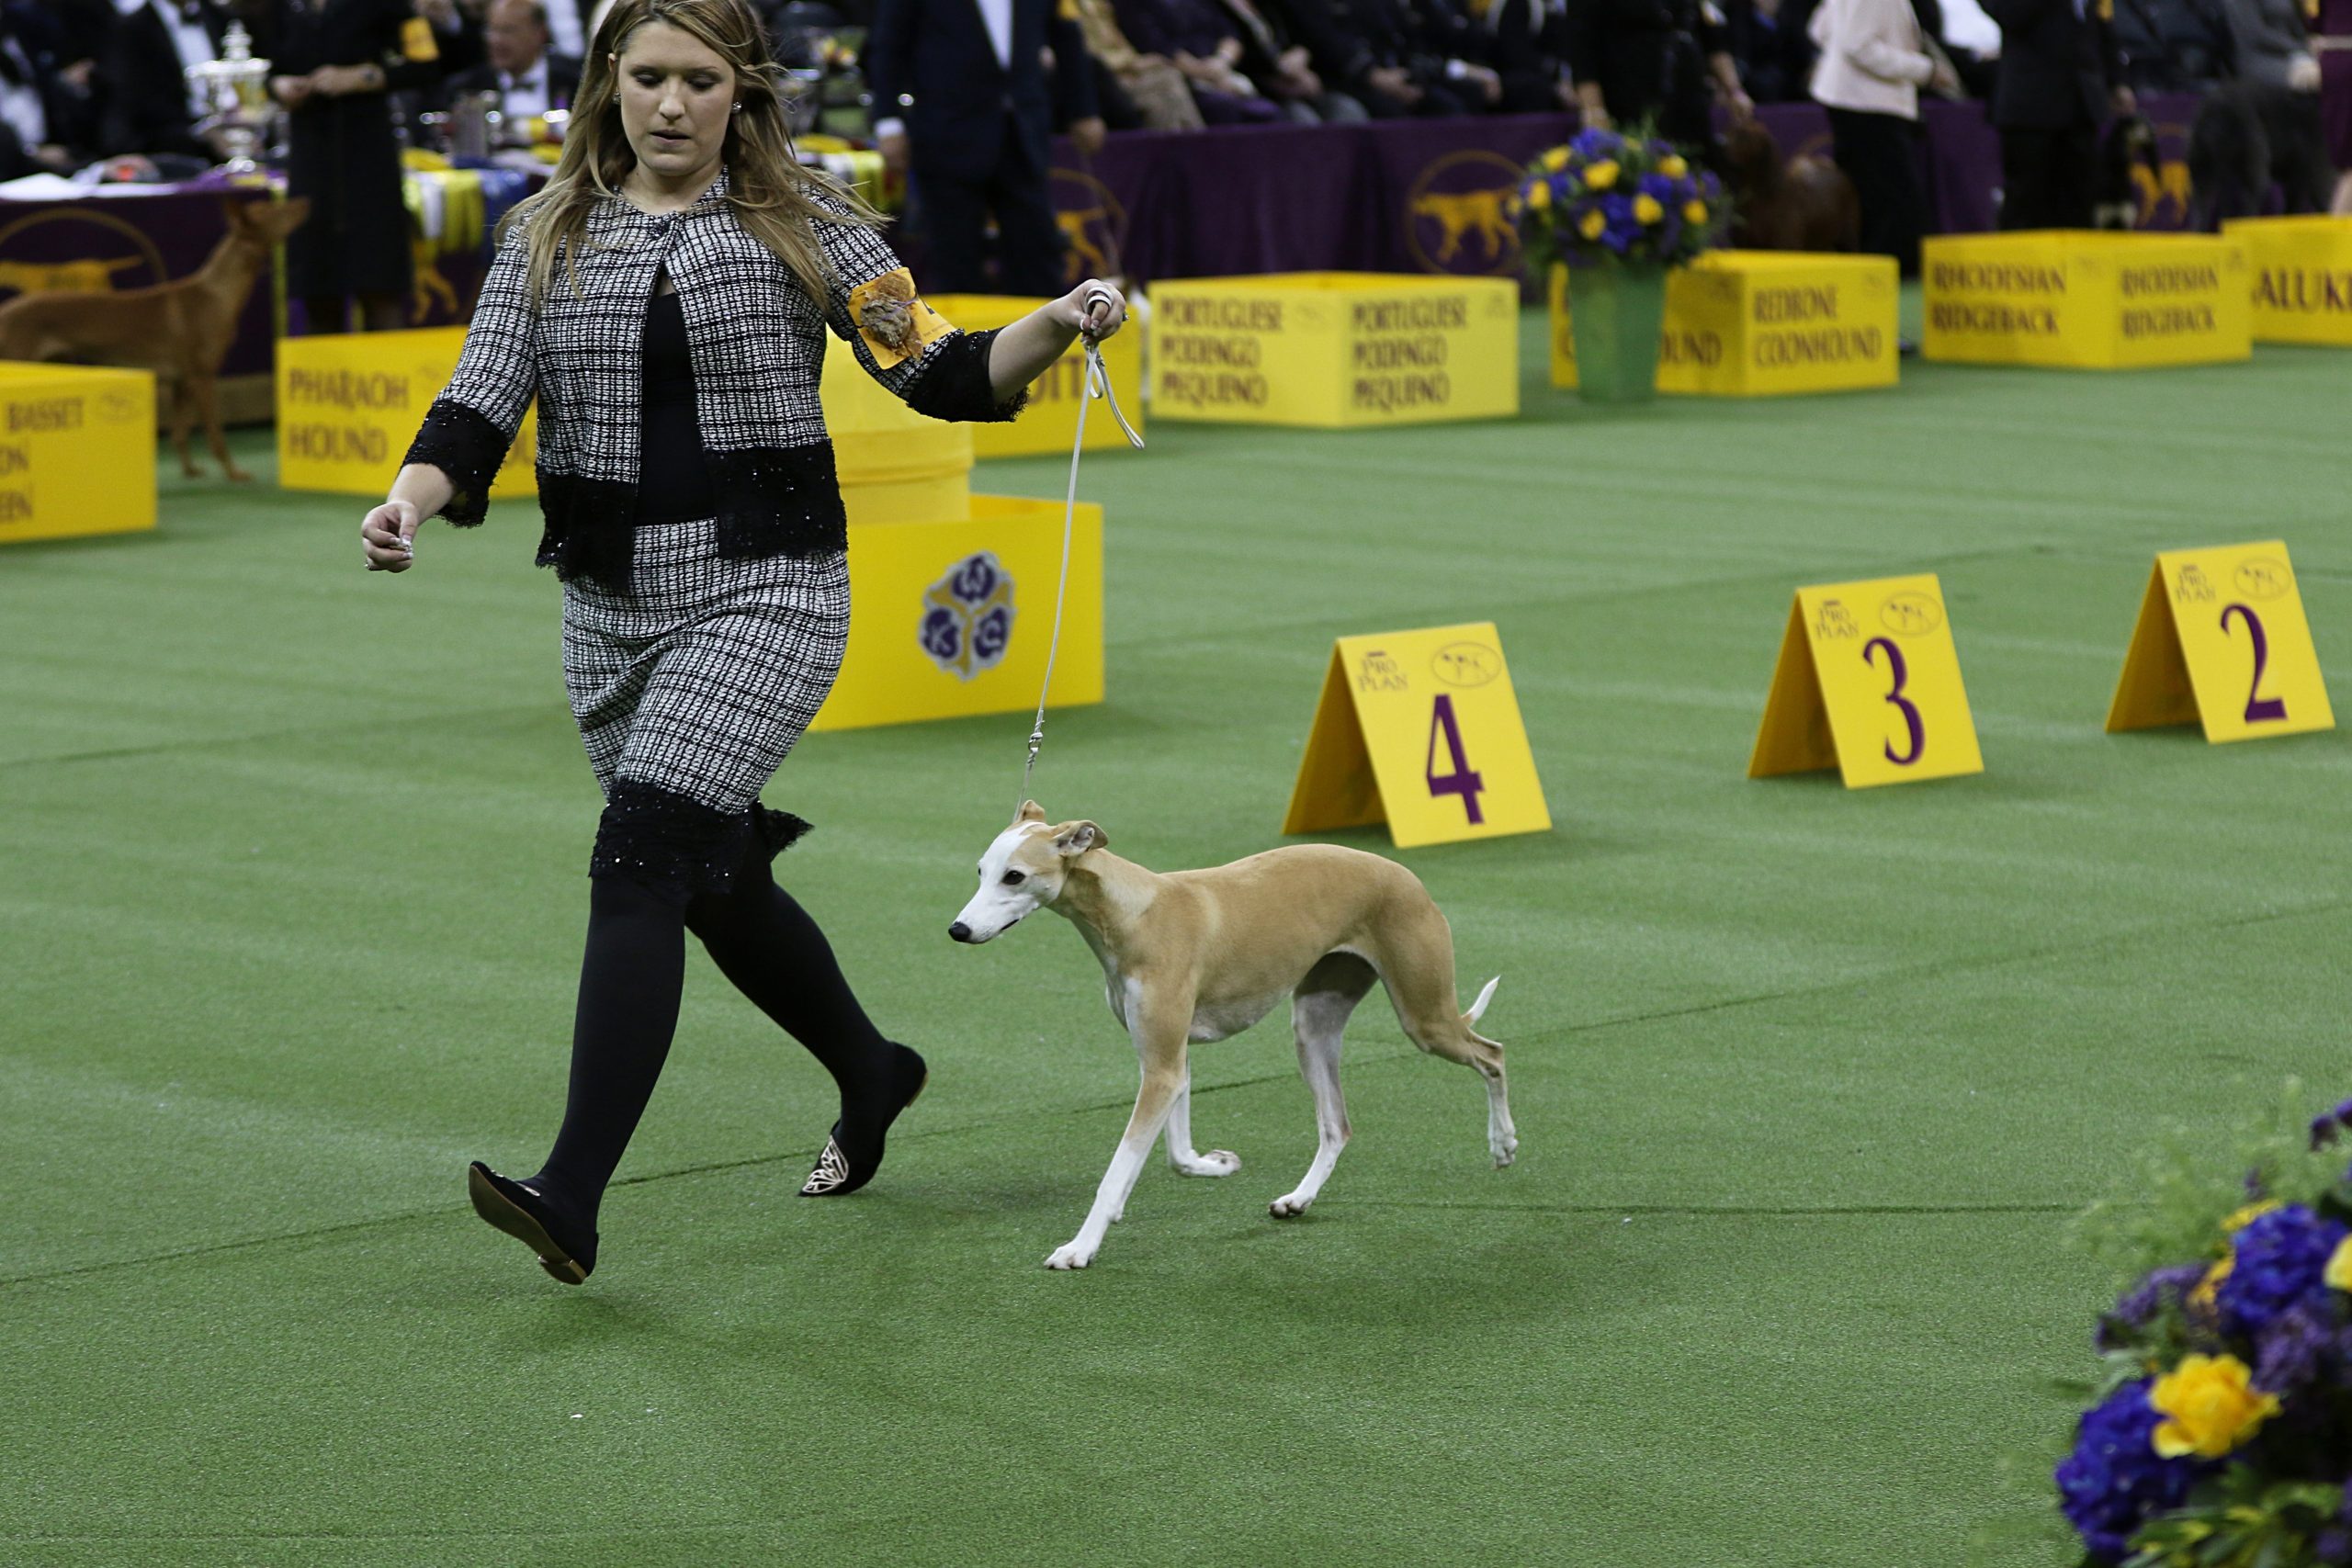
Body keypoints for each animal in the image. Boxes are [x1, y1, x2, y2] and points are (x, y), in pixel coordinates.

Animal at [0, 199, 308, 479]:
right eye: (276, 211)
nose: (304, 201)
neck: (217, 294)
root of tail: (6, 310)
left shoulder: (181, 383)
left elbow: (179, 434)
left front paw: (190, 470)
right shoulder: (203, 378)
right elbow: (216, 437)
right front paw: (233, 473)